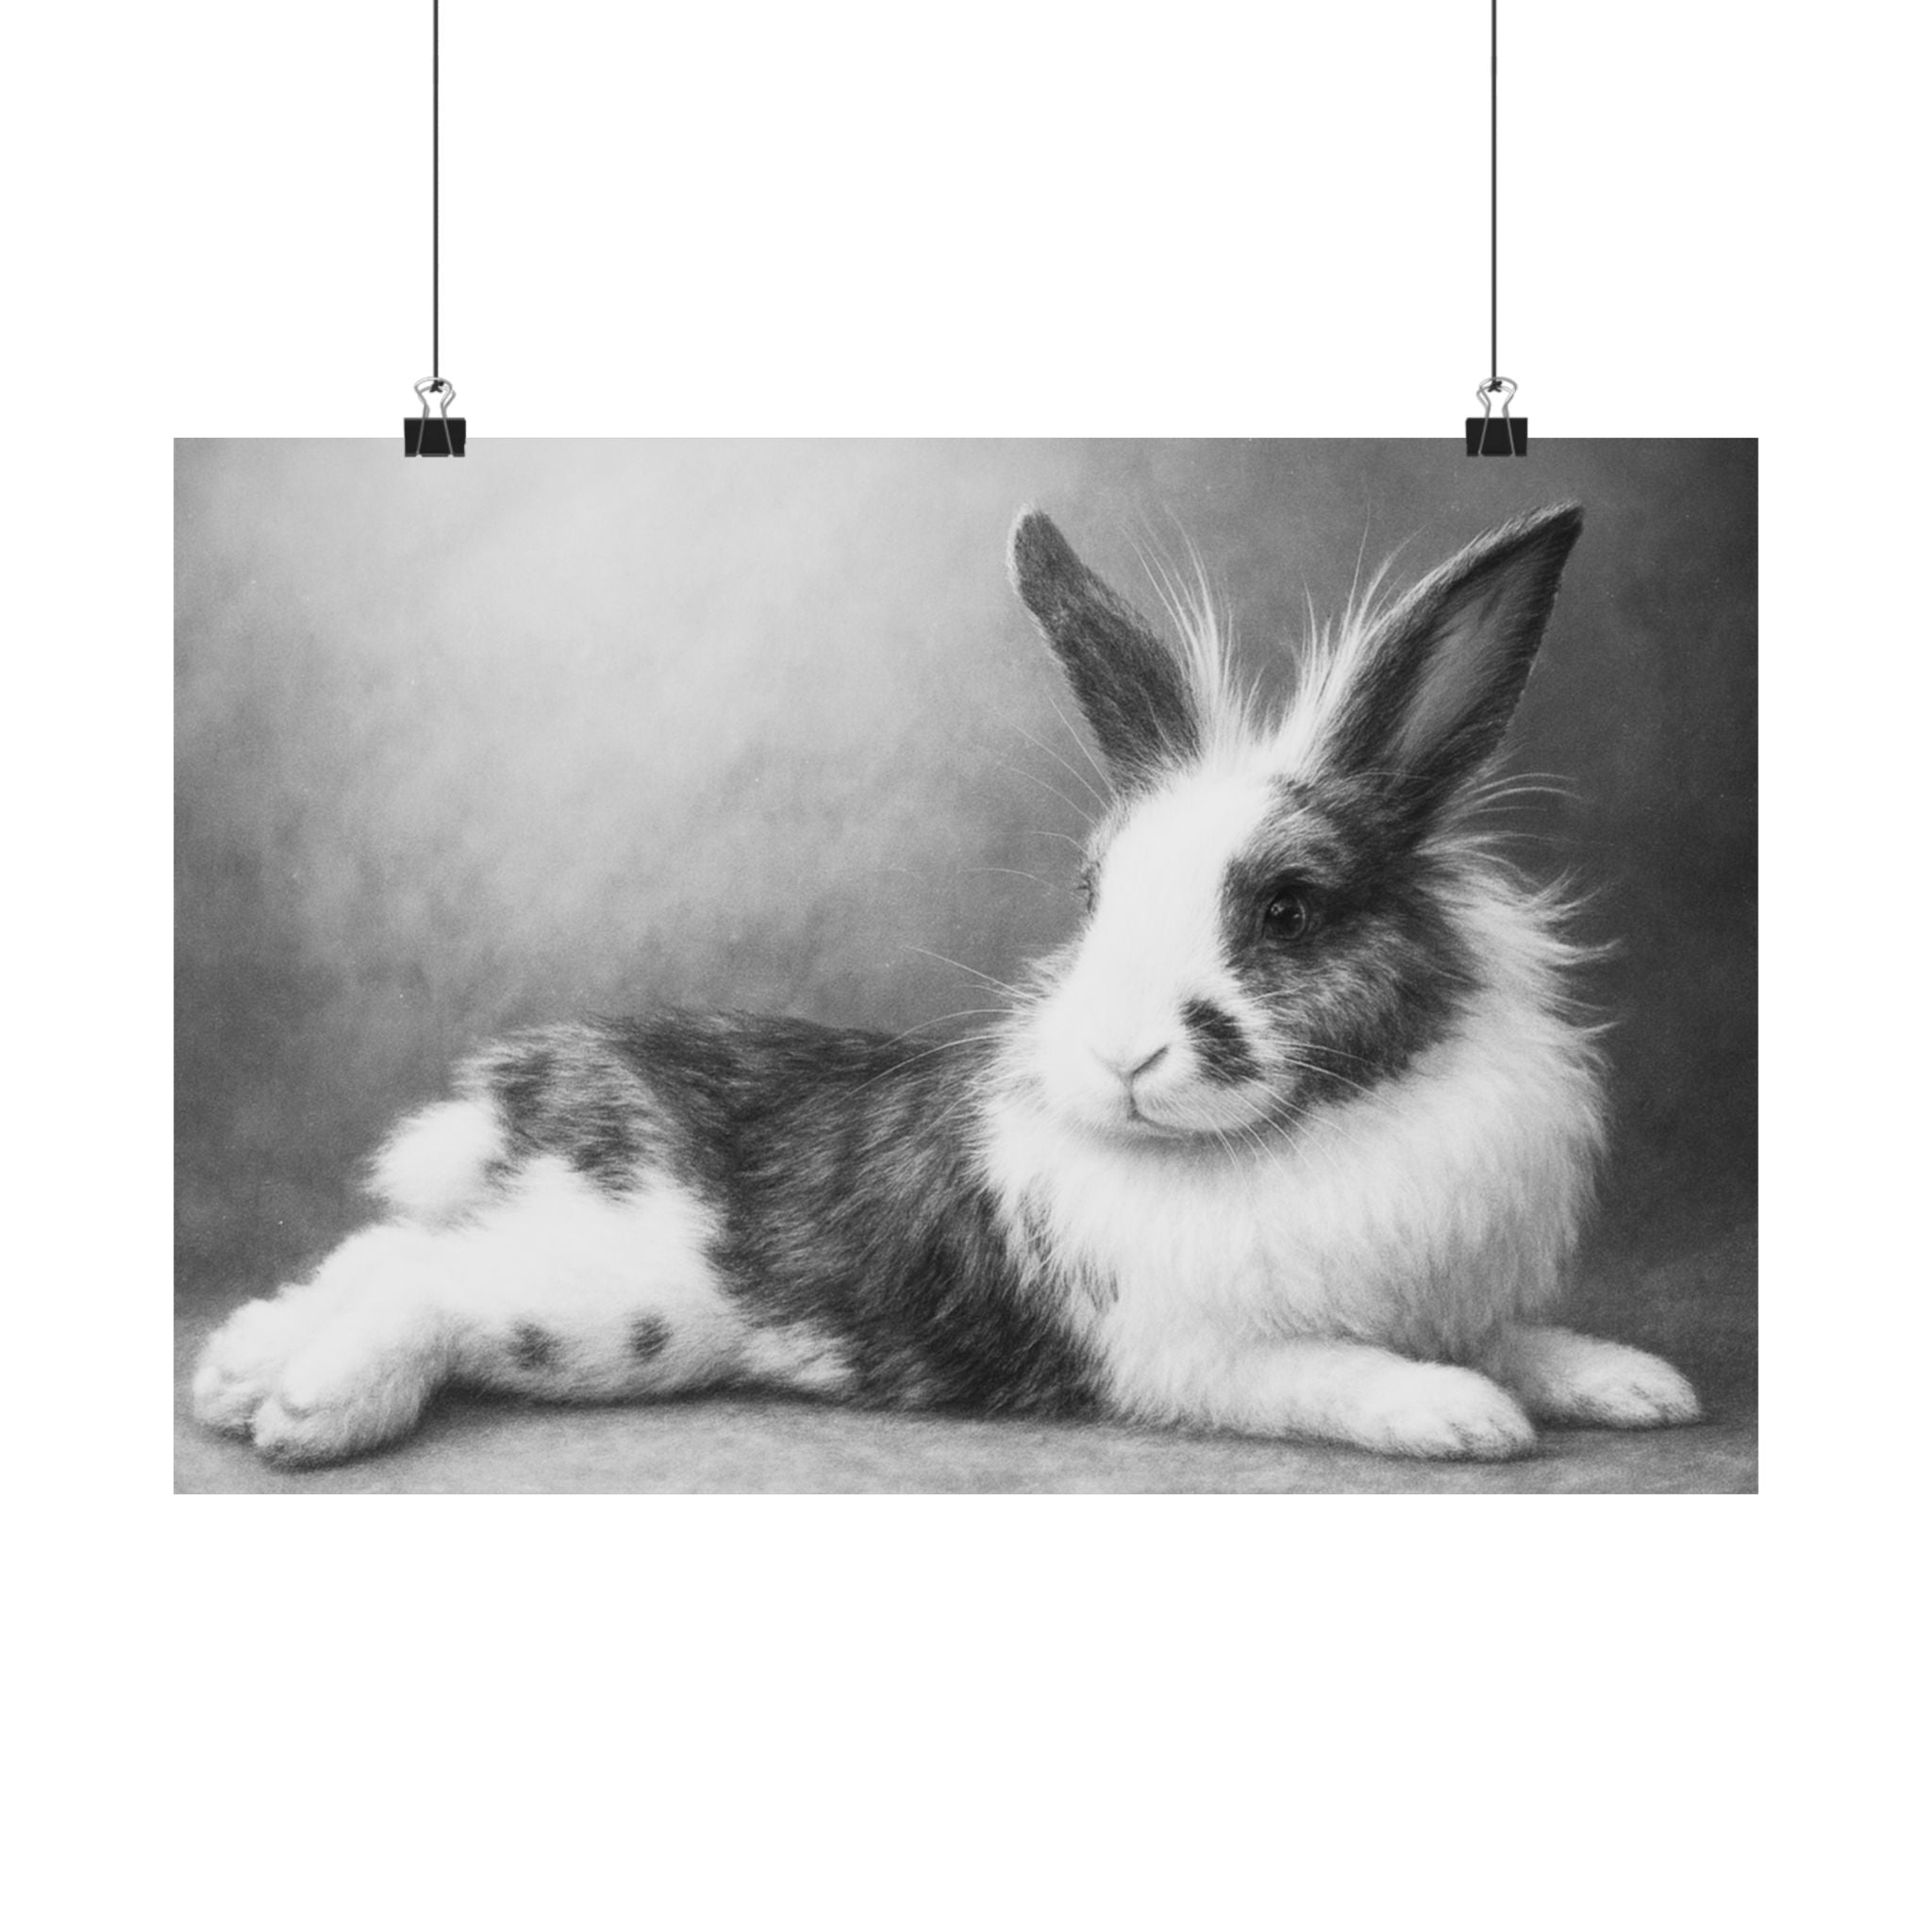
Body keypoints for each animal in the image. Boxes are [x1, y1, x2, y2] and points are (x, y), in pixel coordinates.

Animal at [191, 502, 1701, 1468]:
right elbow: (1338, 1373)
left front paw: (1639, 1385)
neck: (1316, 1134)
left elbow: (1521, 1336)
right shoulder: (1199, 1354)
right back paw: (305, 1408)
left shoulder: (1457, 1295)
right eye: (1092, 895)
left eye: (1289, 908)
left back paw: (236, 1370)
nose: (1123, 1059)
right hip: (613, 1308)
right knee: (426, 1284)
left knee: (390, 1252)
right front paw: (1459, 1418)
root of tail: (547, 1085)